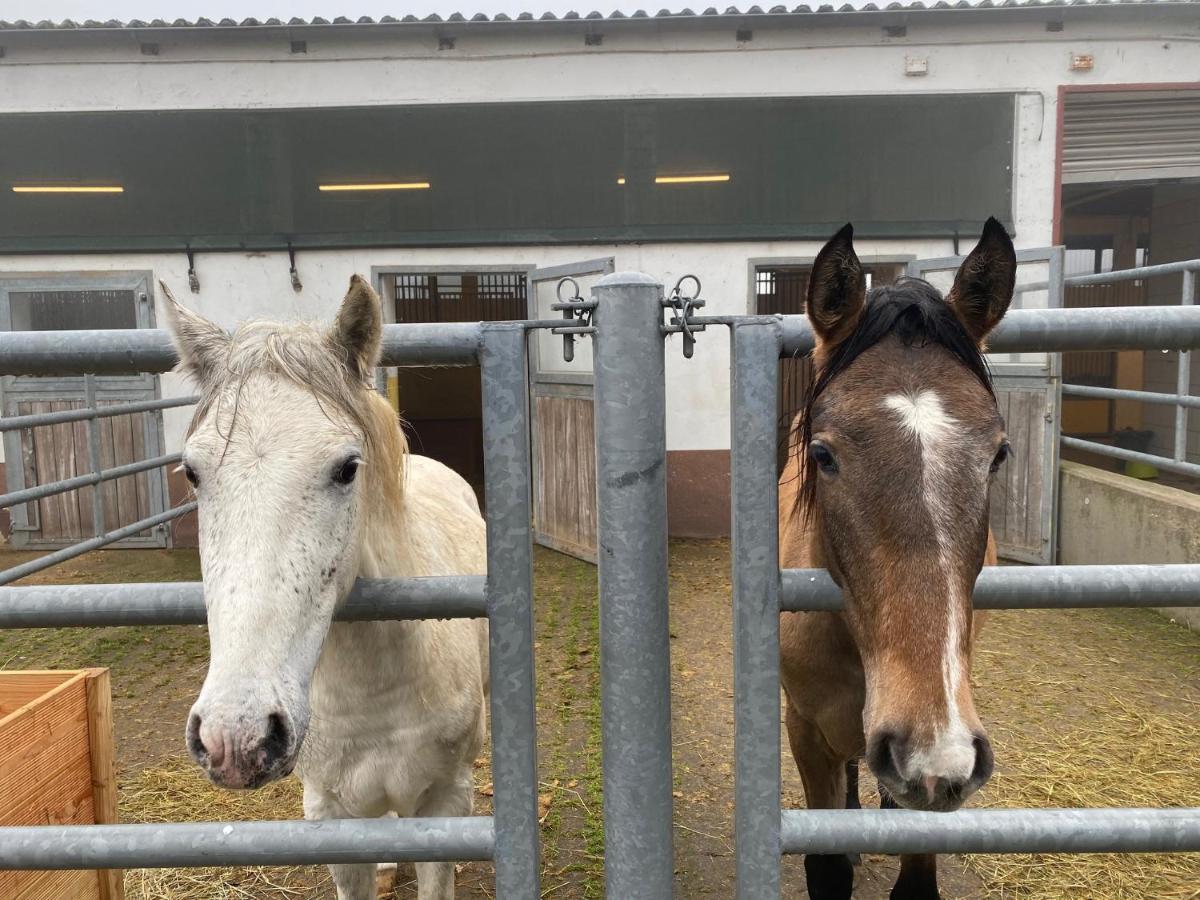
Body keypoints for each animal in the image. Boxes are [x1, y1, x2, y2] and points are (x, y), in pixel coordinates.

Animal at [166, 277, 489, 900]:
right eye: (192, 473)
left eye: (346, 468)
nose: (235, 737)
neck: (375, 695)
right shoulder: (329, 815)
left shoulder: (444, 803)